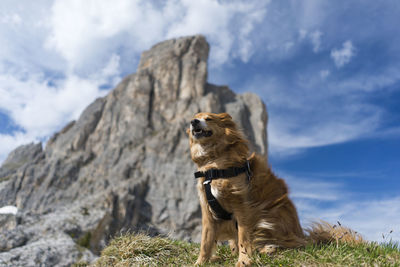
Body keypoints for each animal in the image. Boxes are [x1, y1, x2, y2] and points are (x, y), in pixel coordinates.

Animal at [188, 112, 362, 267]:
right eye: (195, 117)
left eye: (209, 118)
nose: (193, 122)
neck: (214, 165)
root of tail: (301, 234)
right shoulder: (208, 210)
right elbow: (206, 241)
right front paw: (200, 262)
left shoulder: (242, 207)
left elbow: (244, 237)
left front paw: (244, 260)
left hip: (272, 215)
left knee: (291, 244)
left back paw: (267, 249)